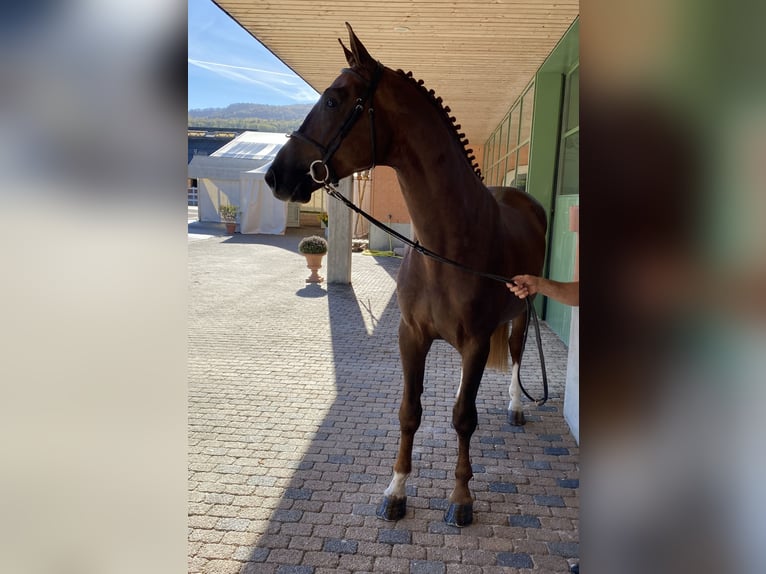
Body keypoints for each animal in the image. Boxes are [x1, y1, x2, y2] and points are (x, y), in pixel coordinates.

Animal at [265, 23, 547, 527]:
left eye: (334, 99)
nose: (276, 176)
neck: (447, 248)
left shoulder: (476, 342)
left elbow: (463, 418)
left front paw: (461, 498)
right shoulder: (411, 335)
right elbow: (409, 412)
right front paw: (396, 490)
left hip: (522, 308)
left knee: (516, 353)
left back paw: (517, 405)